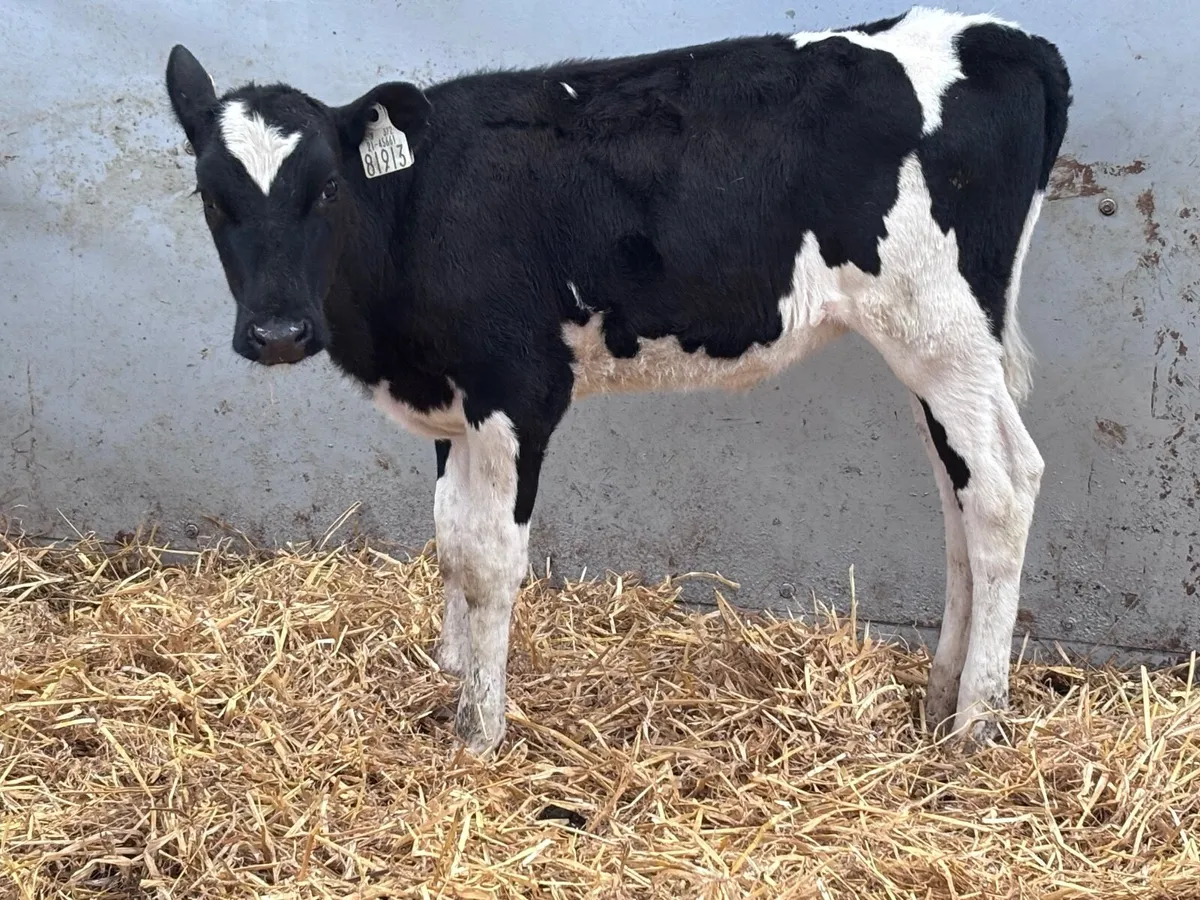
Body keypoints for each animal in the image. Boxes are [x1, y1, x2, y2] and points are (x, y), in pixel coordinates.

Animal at [163, 5, 1071, 756]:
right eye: (211, 195)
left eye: (326, 188)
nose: (279, 332)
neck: (417, 211)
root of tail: (1011, 38)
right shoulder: (454, 400)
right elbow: (449, 539)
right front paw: (448, 672)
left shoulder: (517, 389)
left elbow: (489, 560)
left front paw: (478, 729)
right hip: (939, 350)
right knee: (956, 491)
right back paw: (941, 695)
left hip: (941, 329)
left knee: (1003, 485)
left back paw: (977, 721)